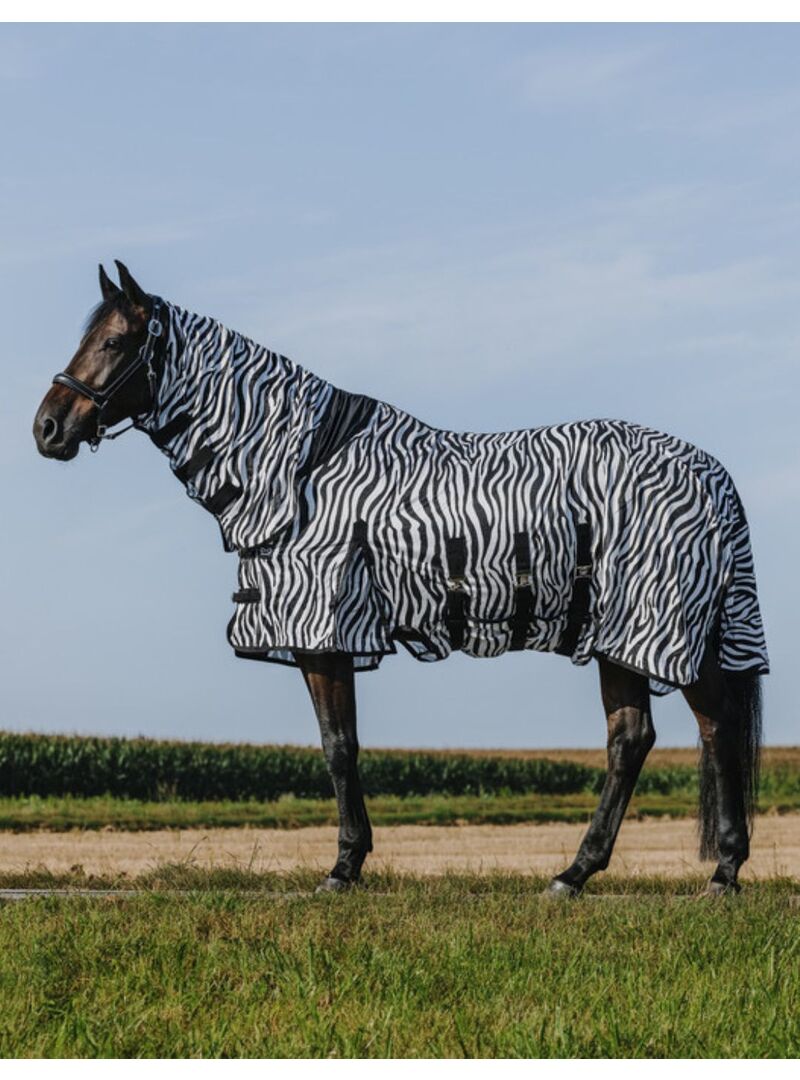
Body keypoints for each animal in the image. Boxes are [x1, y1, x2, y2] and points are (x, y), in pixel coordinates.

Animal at [34, 262, 769, 897]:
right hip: (622, 637)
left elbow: (339, 747)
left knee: (709, 730)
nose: (47, 428)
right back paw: (581, 873)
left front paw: (343, 867)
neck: (301, 469)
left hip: (655, 627)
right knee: (635, 739)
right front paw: (351, 861)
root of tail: (713, 472)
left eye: (114, 341)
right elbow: (344, 745)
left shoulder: (325, 634)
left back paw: (716, 873)